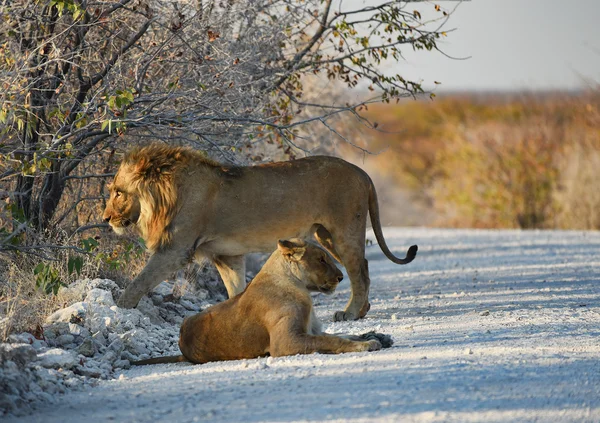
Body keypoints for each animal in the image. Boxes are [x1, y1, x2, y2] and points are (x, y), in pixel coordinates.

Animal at [104, 143, 418, 322]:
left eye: (119, 192)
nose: (106, 218)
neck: (165, 195)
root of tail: (362, 173)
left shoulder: (175, 250)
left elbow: (138, 283)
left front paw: (118, 310)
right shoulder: (226, 255)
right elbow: (235, 290)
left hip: (343, 230)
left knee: (359, 271)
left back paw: (351, 313)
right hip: (325, 235)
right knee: (362, 267)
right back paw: (362, 309)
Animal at [133, 240, 392, 366]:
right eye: (321, 259)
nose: (340, 277)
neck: (298, 285)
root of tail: (182, 347)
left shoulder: (310, 330)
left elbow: (344, 334)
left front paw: (377, 336)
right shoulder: (285, 342)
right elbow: (332, 340)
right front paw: (368, 344)